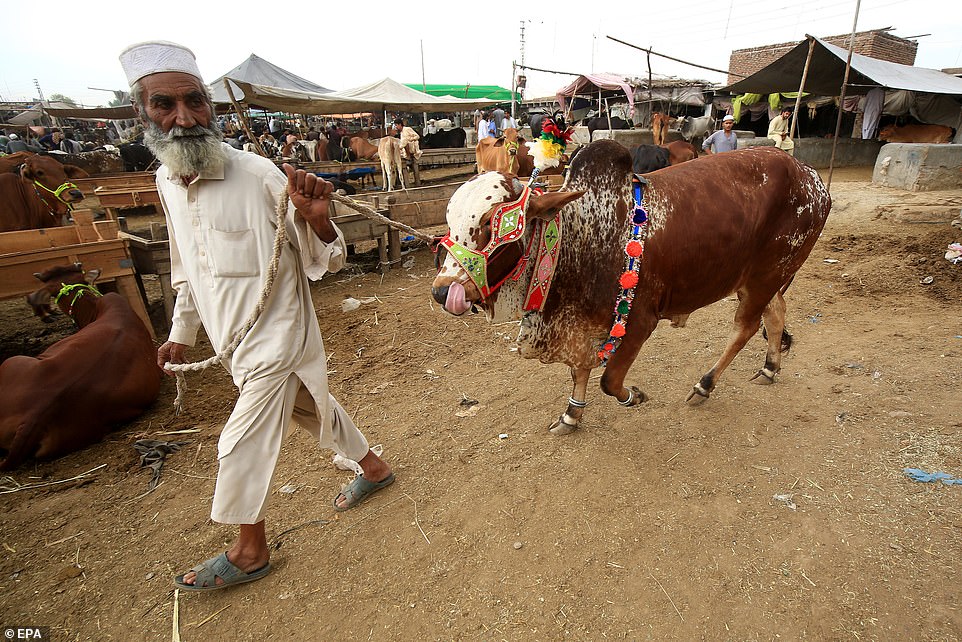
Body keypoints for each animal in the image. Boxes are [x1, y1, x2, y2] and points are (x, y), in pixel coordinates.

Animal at [432, 139, 828, 430]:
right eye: (450, 222)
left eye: (488, 224)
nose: (441, 291)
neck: (581, 235)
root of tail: (810, 175)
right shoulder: (585, 323)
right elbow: (580, 370)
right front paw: (572, 414)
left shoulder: (639, 321)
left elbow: (608, 380)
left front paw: (632, 396)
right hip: (761, 278)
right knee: (775, 313)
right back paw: (770, 367)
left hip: (765, 276)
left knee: (745, 328)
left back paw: (705, 384)